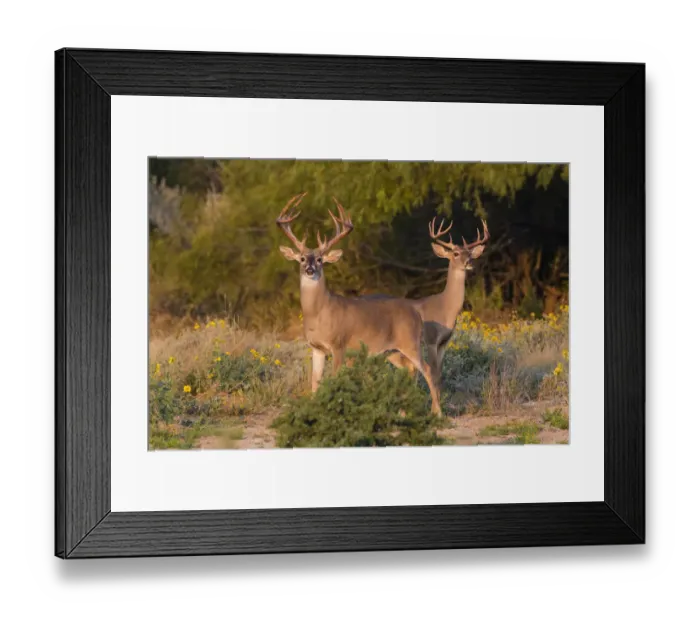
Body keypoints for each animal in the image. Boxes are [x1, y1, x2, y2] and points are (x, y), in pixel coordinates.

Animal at [277, 193, 442, 415]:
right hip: (392, 350)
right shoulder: (317, 348)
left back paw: (437, 413)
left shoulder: (339, 344)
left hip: (411, 342)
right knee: (410, 369)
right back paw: (404, 411)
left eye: (320, 259)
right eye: (302, 258)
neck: (319, 313)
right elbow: (314, 384)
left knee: (428, 370)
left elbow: (334, 379)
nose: (310, 270)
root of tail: (416, 313)